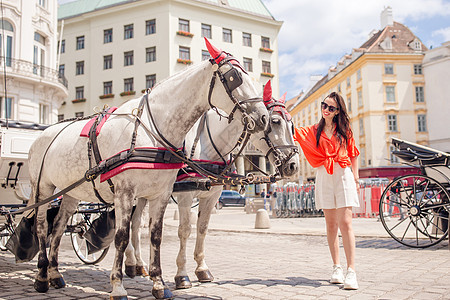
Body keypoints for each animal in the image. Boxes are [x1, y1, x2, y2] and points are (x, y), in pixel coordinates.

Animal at [26, 39, 268, 300]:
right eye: (235, 77)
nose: (263, 117)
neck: (151, 129)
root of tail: (44, 133)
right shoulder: (125, 193)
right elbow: (121, 237)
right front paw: (118, 285)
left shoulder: (161, 194)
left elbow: (155, 235)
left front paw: (159, 283)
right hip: (42, 188)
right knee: (42, 227)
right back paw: (42, 277)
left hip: (71, 192)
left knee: (58, 228)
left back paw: (55, 274)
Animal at [123, 81, 298, 290]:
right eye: (275, 122)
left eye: (292, 125)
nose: (293, 165)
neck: (207, 145)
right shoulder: (185, 196)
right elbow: (185, 230)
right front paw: (182, 275)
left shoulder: (212, 196)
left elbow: (202, 229)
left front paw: (201, 269)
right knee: (130, 224)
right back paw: (132, 262)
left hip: (146, 193)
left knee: (135, 224)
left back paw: (139, 265)